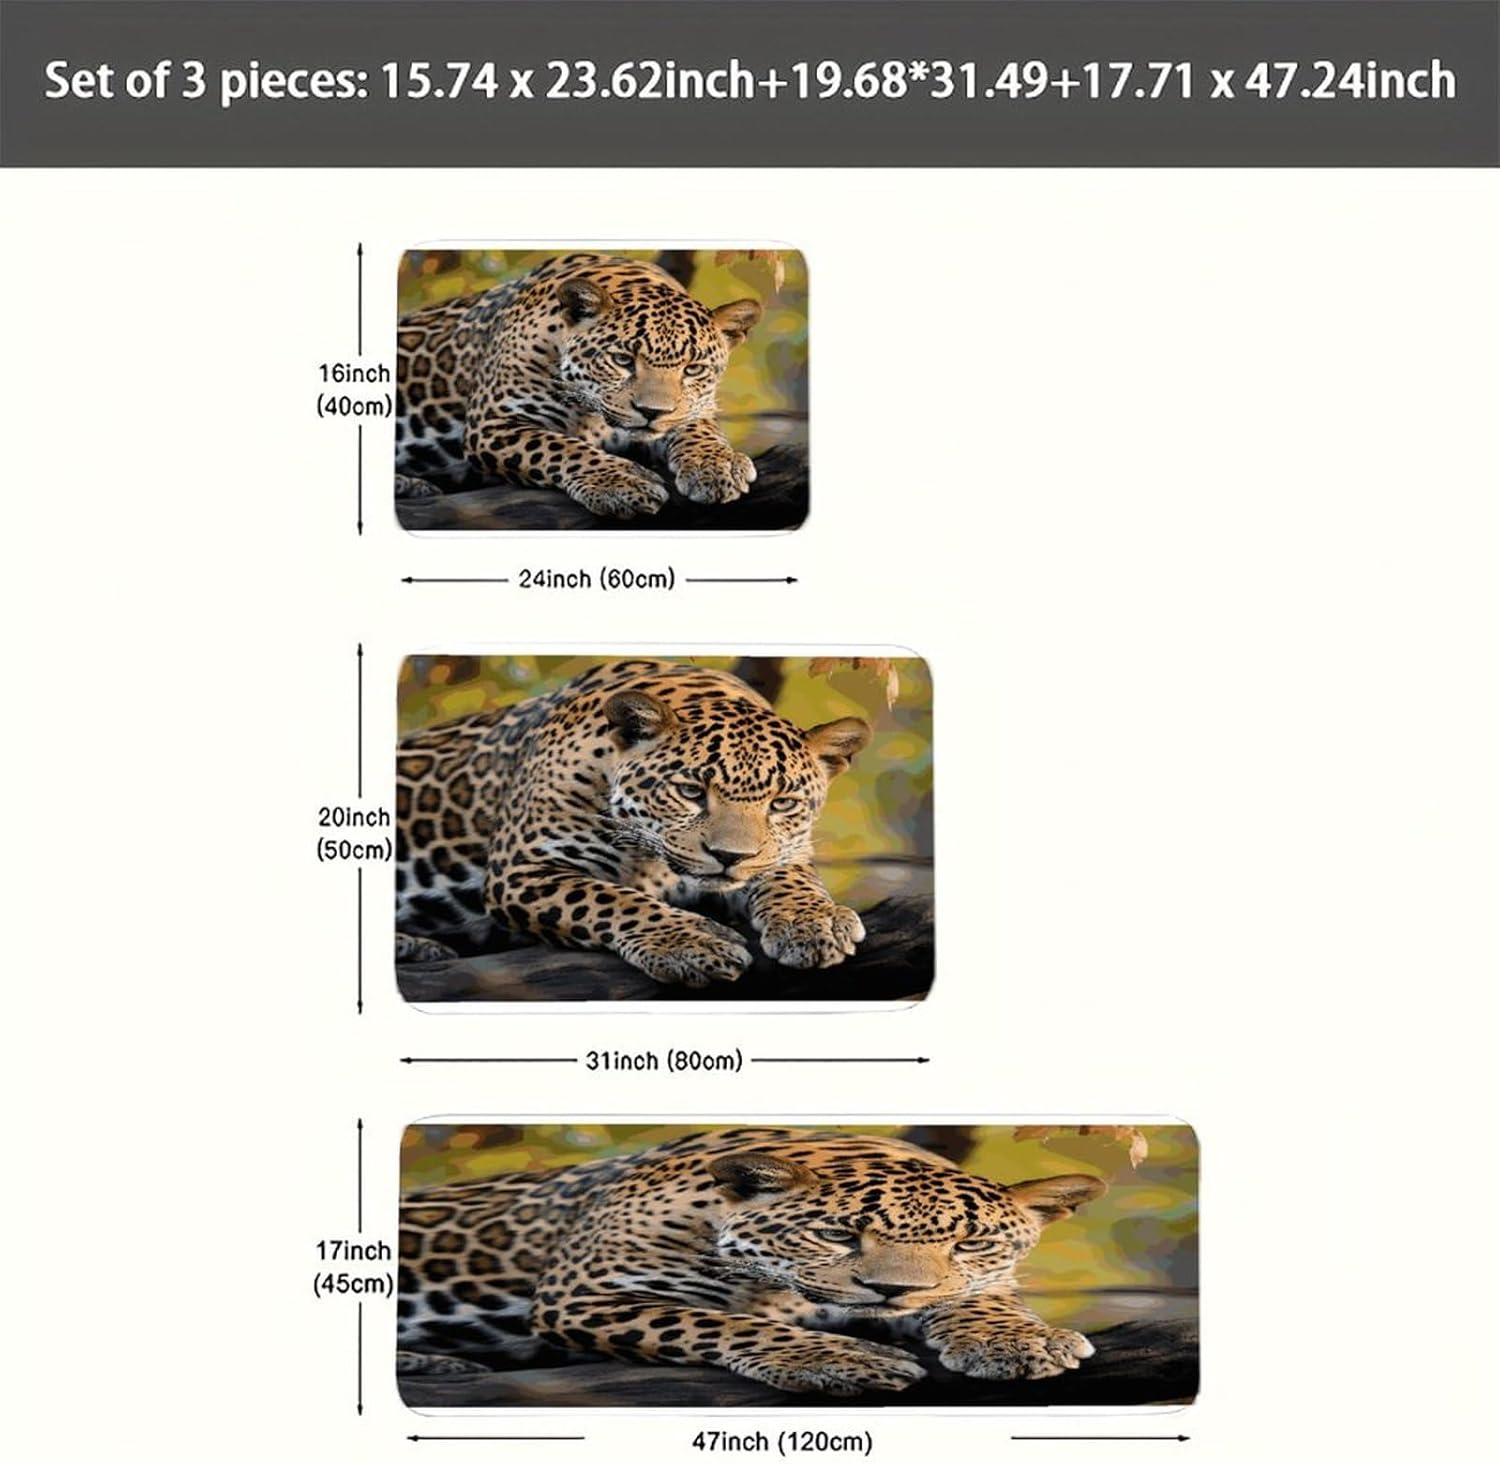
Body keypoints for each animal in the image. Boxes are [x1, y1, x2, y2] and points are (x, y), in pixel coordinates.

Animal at [394, 254, 762, 518]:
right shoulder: (492, 423)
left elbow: (698, 427)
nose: (652, 412)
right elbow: (559, 447)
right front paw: (620, 482)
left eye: (693, 369)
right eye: (623, 359)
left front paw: (717, 465)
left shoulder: (692, 409)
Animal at [396, 661, 872, 986]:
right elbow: (610, 899)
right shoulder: (521, 869)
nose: (728, 857)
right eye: (691, 791)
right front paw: (690, 944)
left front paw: (815, 922)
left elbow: (791, 877)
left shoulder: (782, 852)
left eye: (782, 803)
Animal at [397, 1128, 1107, 1397]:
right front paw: (838, 1361)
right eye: (837, 1234)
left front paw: (1018, 1342)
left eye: (971, 1243)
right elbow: (721, 1323)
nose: (892, 1293)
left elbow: (980, 1298)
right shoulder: (585, 1294)